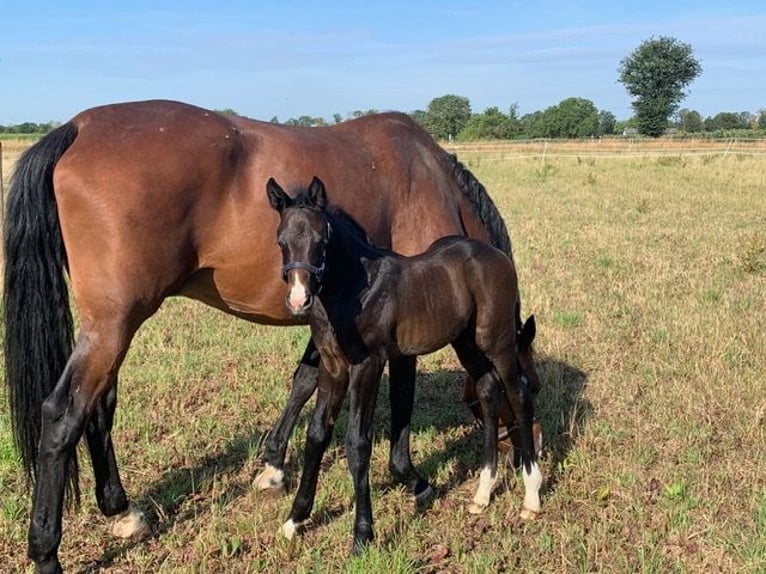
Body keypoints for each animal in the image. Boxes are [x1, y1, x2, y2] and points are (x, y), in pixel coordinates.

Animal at [266, 176, 542, 552]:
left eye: (321, 240)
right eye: (281, 241)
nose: (298, 299)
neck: (353, 289)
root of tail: (497, 256)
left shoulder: (368, 365)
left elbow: (358, 443)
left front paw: (362, 535)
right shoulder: (331, 366)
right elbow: (316, 434)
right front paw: (295, 519)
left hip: (496, 343)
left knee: (518, 396)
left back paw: (531, 497)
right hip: (465, 342)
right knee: (487, 390)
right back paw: (483, 493)